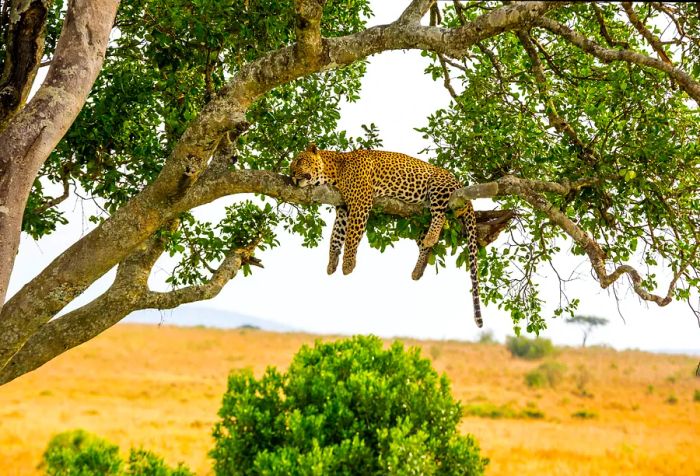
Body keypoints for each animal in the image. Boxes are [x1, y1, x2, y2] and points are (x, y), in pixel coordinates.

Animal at [290, 142, 482, 328]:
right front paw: (331, 263)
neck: (334, 171)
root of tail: (459, 183)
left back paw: (432, 237)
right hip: (419, 219)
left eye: (299, 160)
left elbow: (352, 236)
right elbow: (336, 237)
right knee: (425, 246)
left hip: (438, 185)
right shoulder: (343, 208)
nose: (291, 174)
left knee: (441, 215)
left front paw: (348, 264)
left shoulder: (360, 202)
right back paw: (418, 269)